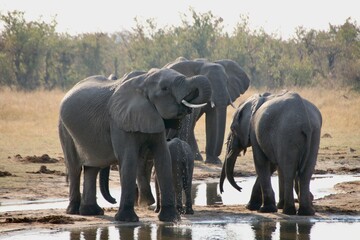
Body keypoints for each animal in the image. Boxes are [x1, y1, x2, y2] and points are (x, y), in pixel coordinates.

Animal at [58, 66, 212, 222]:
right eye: (165, 88)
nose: (113, 200)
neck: (143, 81)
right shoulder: (119, 122)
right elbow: (129, 159)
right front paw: (127, 219)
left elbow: (163, 158)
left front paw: (171, 219)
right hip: (64, 129)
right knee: (75, 168)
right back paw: (73, 211)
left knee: (92, 168)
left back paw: (91, 211)